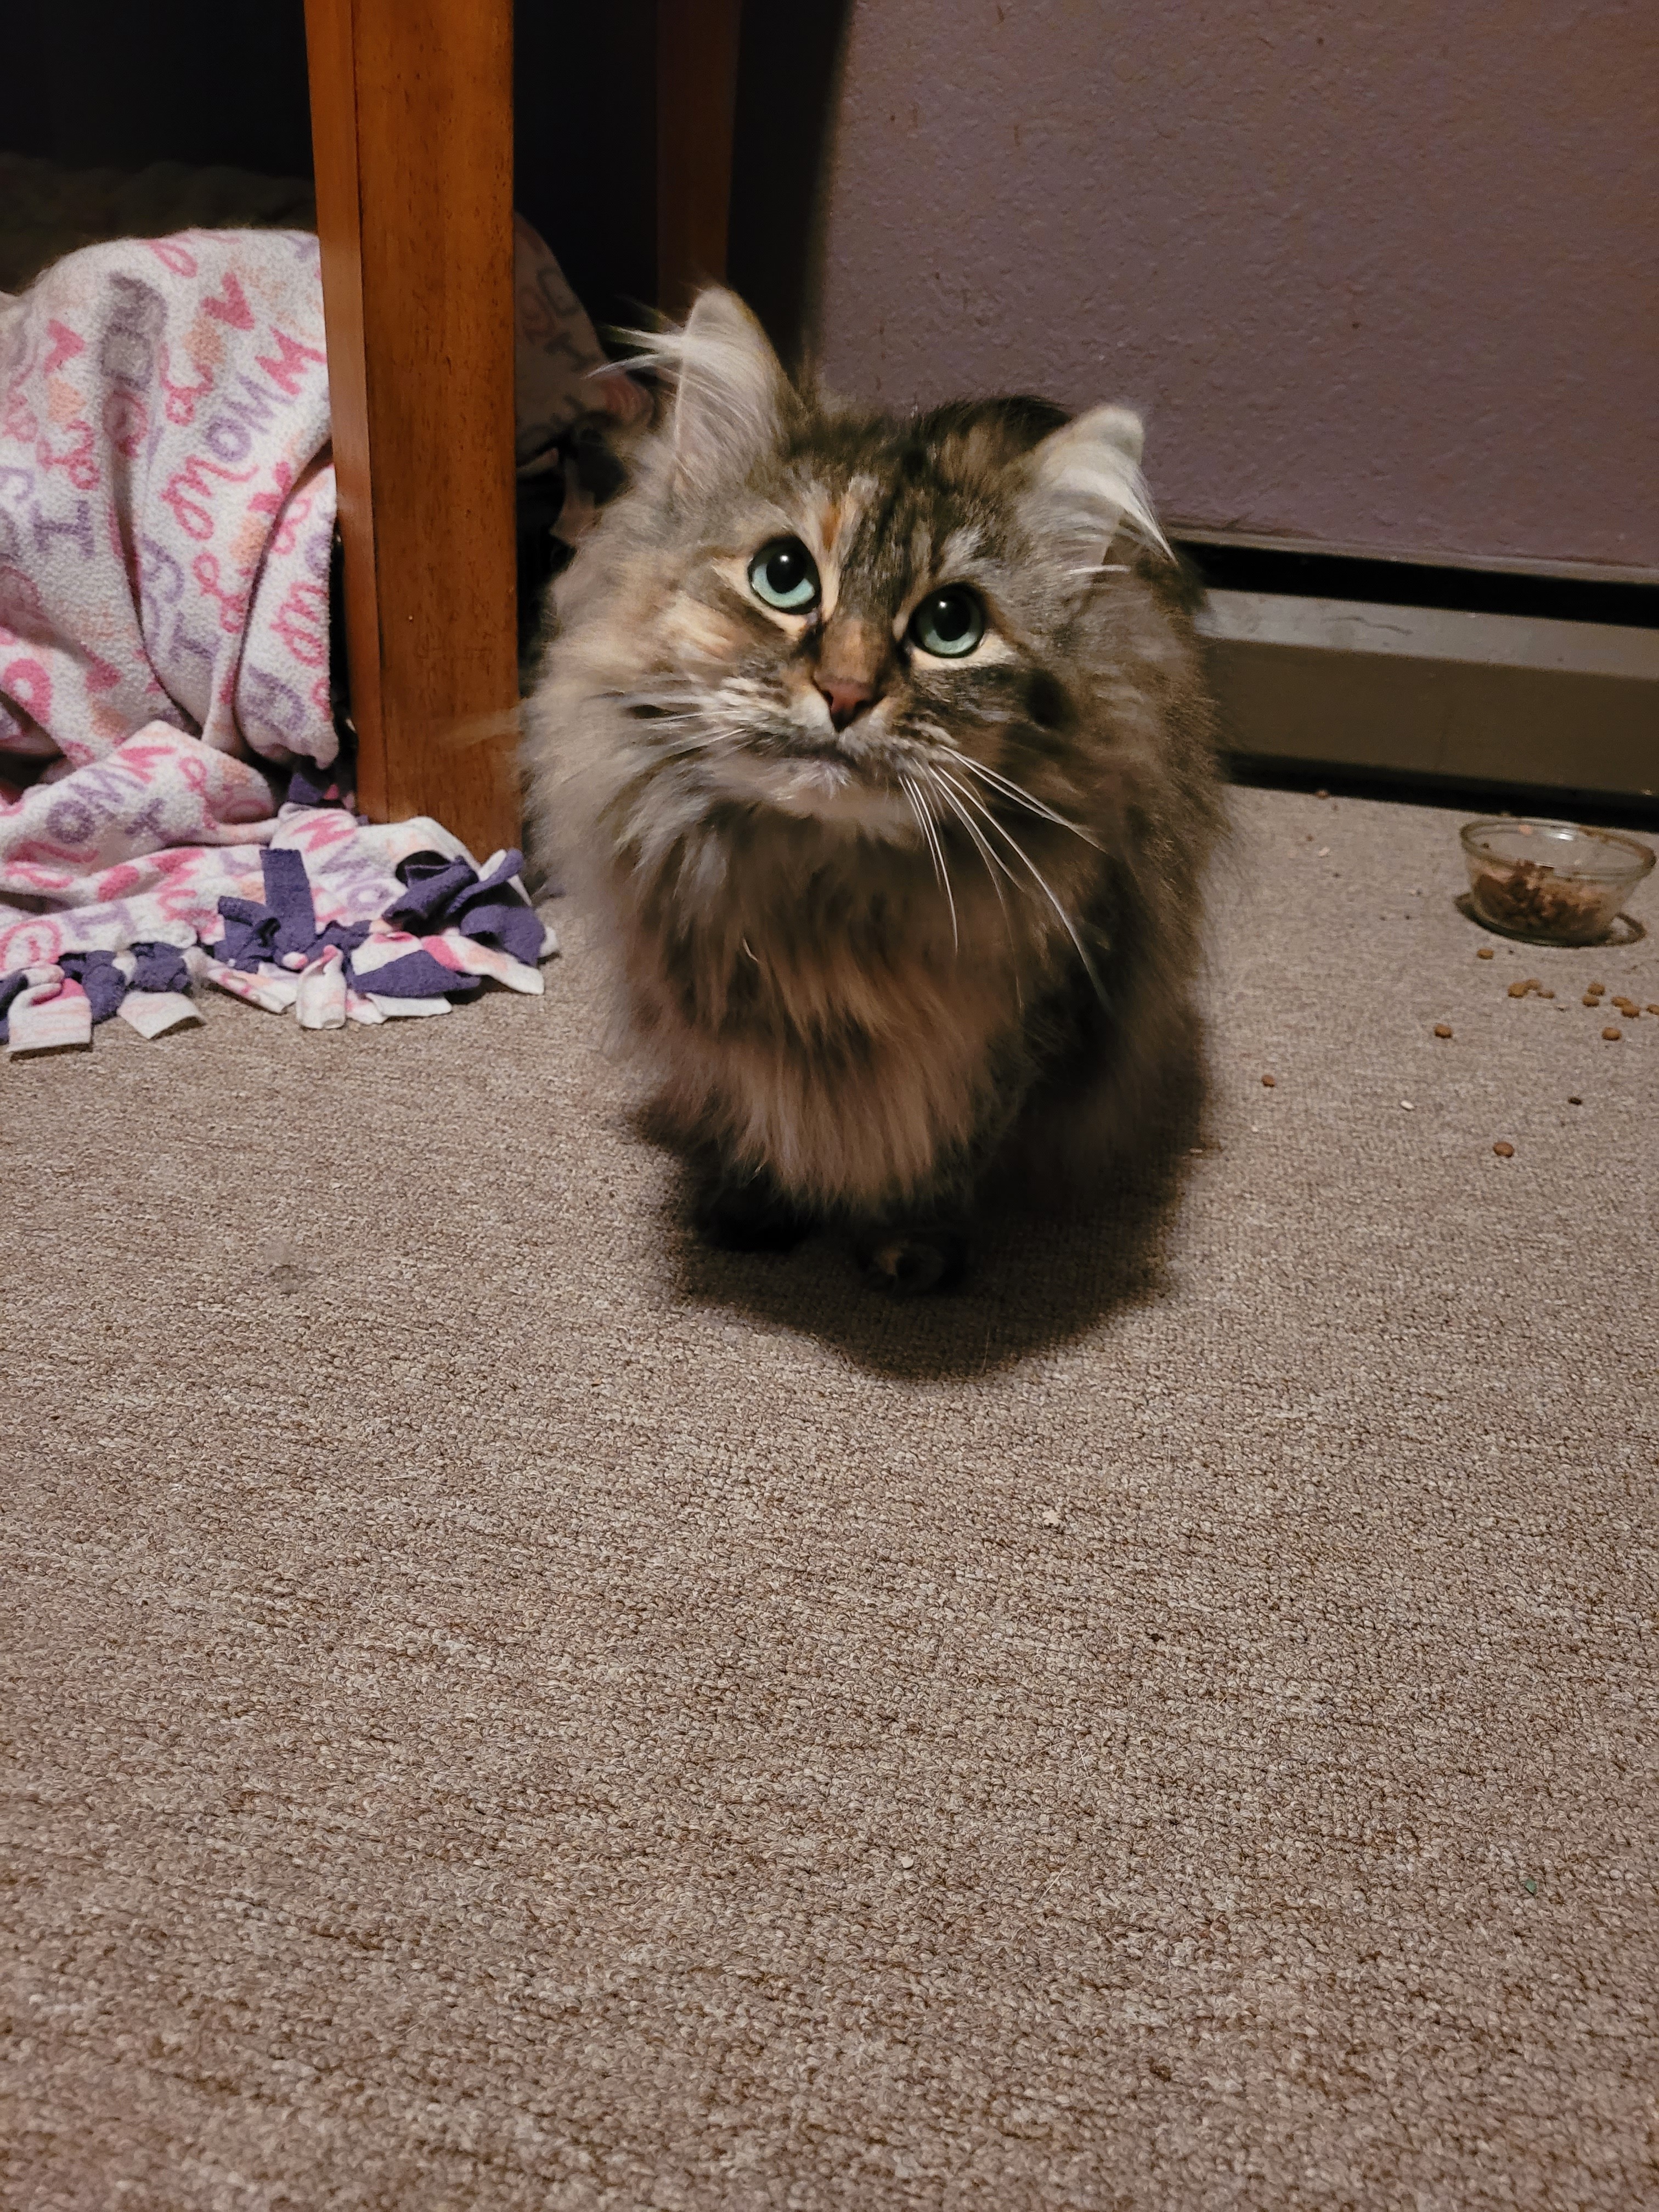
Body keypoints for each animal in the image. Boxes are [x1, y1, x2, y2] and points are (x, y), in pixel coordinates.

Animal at [526, 294, 1229, 1291]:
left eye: (949, 625)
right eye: (782, 577)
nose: (847, 692)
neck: (817, 896)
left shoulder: (1023, 1024)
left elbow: (951, 1147)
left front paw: (910, 1243)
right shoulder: (709, 1008)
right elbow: (749, 1106)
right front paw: (757, 1204)